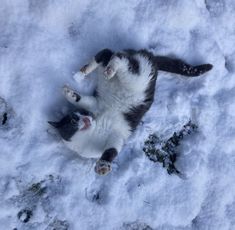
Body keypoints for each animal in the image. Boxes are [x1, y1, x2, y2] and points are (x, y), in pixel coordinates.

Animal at [48, 48, 213, 174]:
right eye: (74, 120)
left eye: (83, 115)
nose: (87, 119)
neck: (94, 131)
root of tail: (151, 57)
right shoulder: (98, 114)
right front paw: (68, 91)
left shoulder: (114, 134)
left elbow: (111, 151)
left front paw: (103, 166)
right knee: (109, 55)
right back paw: (83, 72)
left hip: (134, 78)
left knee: (116, 57)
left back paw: (95, 71)